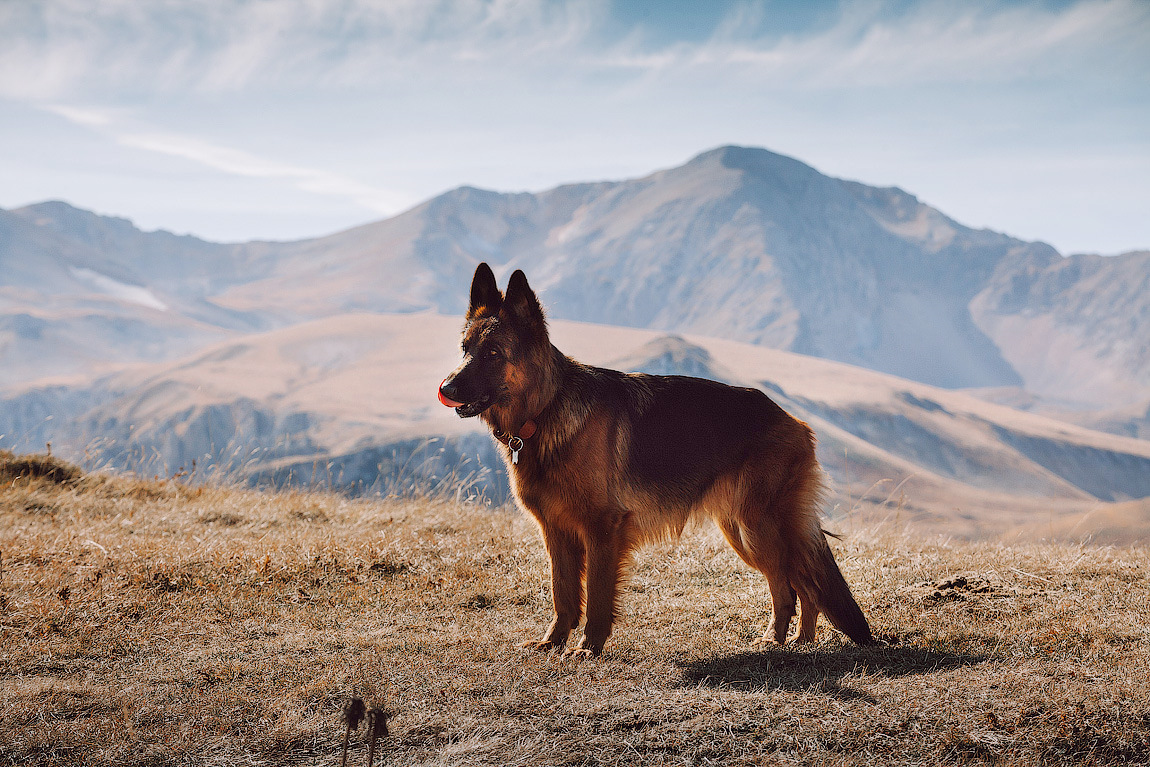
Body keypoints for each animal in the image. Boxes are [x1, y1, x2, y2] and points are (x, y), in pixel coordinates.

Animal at [437, 265, 869, 662]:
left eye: (494, 353)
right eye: (464, 348)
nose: (446, 389)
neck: (546, 408)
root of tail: (796, 422)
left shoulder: (602, 530)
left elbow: (597, 596)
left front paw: (588, 647)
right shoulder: (556, 531)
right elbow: (564, 594)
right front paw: (553, 642)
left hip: (759, 528)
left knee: (798, 583)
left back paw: (786, 641)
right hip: (742, 531)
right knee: (795, 583)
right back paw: (791, 641)